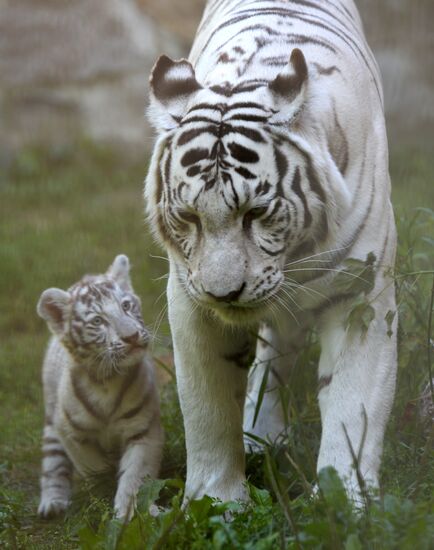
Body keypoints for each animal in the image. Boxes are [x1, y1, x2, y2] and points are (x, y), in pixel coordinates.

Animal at [36, 256, 163, 520]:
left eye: (126, 306)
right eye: (97, 321)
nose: (132, 336)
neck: (107, 380)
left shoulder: (143, 430)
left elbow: (136, 475)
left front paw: (130, 512)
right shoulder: (70, 433)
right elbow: (93, 466)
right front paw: (104, 481)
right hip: (52, 423)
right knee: (53, 464)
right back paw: (52, 503)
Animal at [145, 0, 396, 506]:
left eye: (256, 212)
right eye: (189, 217)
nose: (224, 293)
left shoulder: (363, 293)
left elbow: (352, 404)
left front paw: (344, 506)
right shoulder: (189, 298)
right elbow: (207, 409)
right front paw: (216, 502)